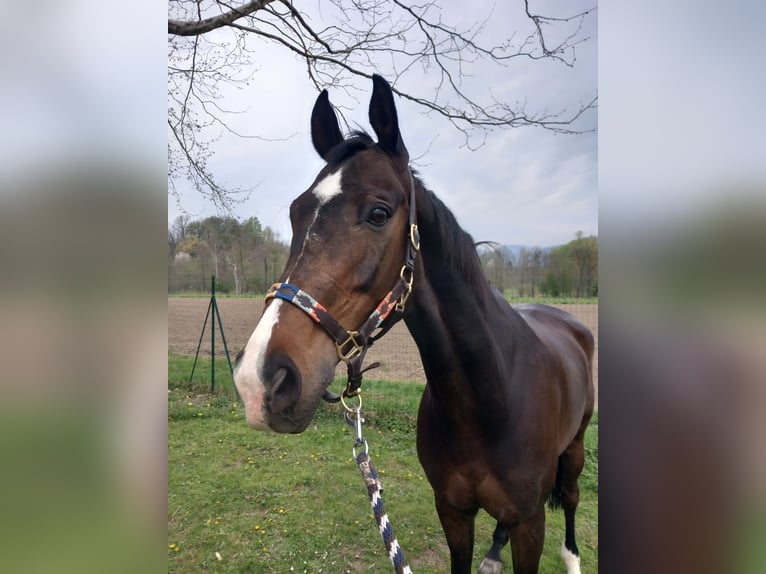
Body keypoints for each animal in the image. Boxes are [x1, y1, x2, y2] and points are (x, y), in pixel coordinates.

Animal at [232, 76, 592, 574]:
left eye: (379, 213)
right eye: (295, 212)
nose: (260, 381)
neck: (486, 398)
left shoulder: (531, 524)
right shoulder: (453, 511)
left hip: (575, 449)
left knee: (572, 497)